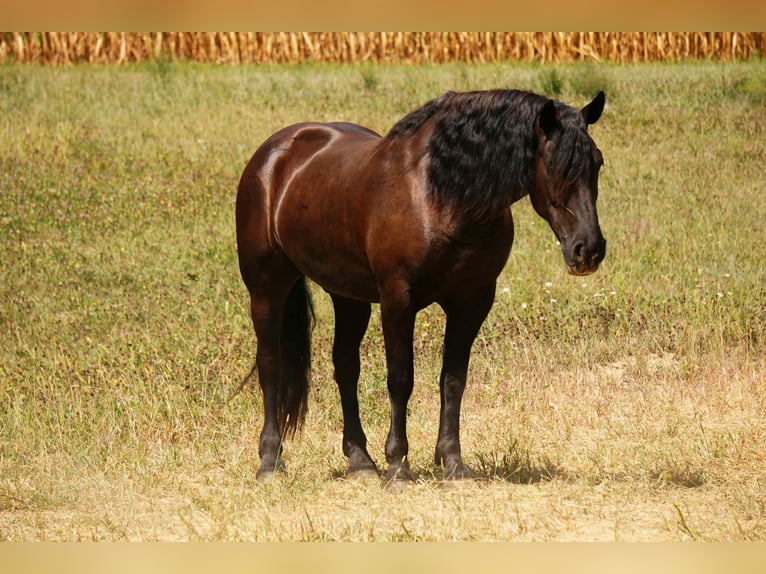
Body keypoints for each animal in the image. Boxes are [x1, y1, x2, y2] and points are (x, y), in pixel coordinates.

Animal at [236, 89, 606, 485]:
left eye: (597, 163)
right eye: (556, 165)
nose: (588, 249)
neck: (443, 197)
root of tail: (274, 154)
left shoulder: (472, 302)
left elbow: (453, 380)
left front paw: (453, 462)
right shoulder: (398, 299)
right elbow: (401, 379)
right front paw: (398, 465)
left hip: (348, 297)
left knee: (345, 367)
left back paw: (360, 460)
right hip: (267, 288)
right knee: (270, 364)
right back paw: (270, 461)